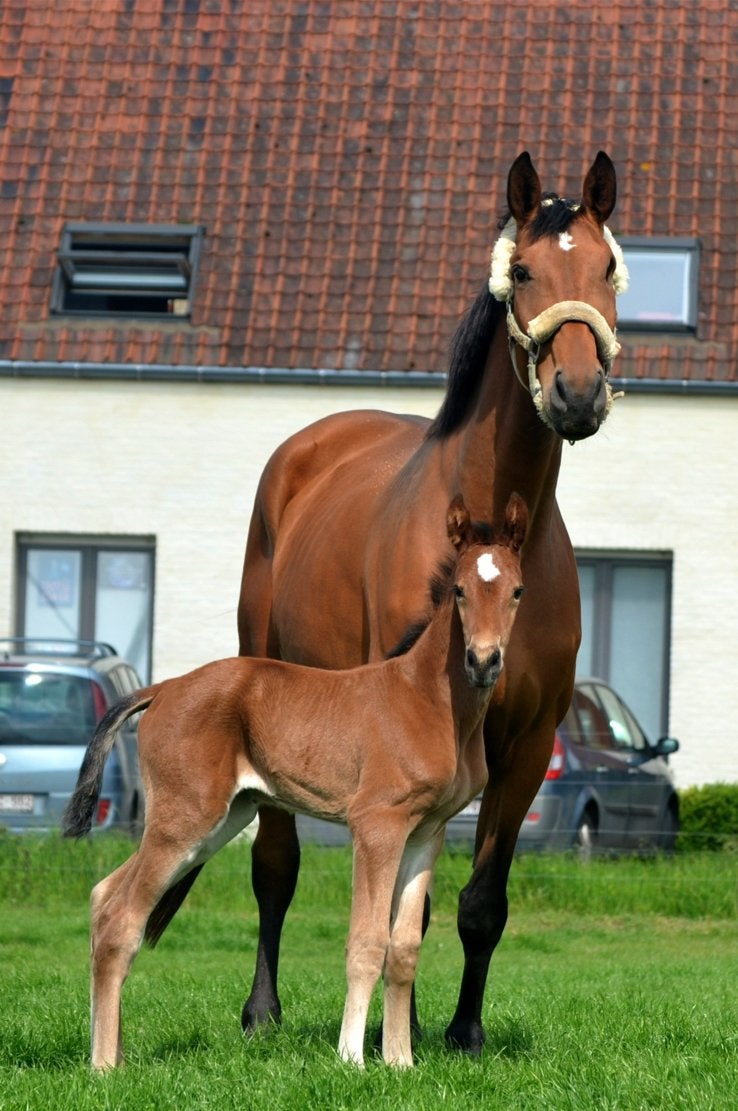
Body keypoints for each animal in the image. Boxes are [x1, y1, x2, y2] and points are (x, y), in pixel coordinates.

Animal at [63, 493, 528, 1070]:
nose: (483, 661)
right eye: (460, 590)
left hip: (219, 820)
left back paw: (114, 1052)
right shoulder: (377, 824)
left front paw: (400, 1062)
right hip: (186, 818)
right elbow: (367, 941)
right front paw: (352, 1059)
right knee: (122, 917)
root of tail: (164, 687)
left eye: (516, 591)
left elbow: (404, 948)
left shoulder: (426, 832)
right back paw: (104, 1066)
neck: (431, 700)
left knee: (104, 894)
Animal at [235, 151, 628, 1054]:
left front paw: (463, 1031)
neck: (482, 522)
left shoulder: (526, 746)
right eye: (524, 270)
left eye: (607, 268)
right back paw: (262, 1010)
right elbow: (386, 906)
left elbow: (480, 903)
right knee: (275, 864)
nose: (578, 392)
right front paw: (391, 1033)